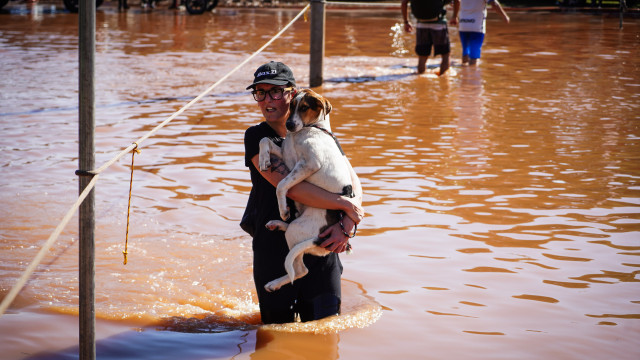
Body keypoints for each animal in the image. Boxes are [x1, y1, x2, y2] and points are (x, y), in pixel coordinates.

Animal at [258, 89, 358, 292]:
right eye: (290, 106)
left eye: (305, 107)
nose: (289, 125)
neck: (308, 129)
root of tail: (323, 243)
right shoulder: (285, 154)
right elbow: (264, 140)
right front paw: (264, 159)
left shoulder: (309, 164)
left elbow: (282, 185)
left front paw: (283, 209)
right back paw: (276, 224)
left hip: (297, 230)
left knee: (299, 270)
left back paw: (274, 282)